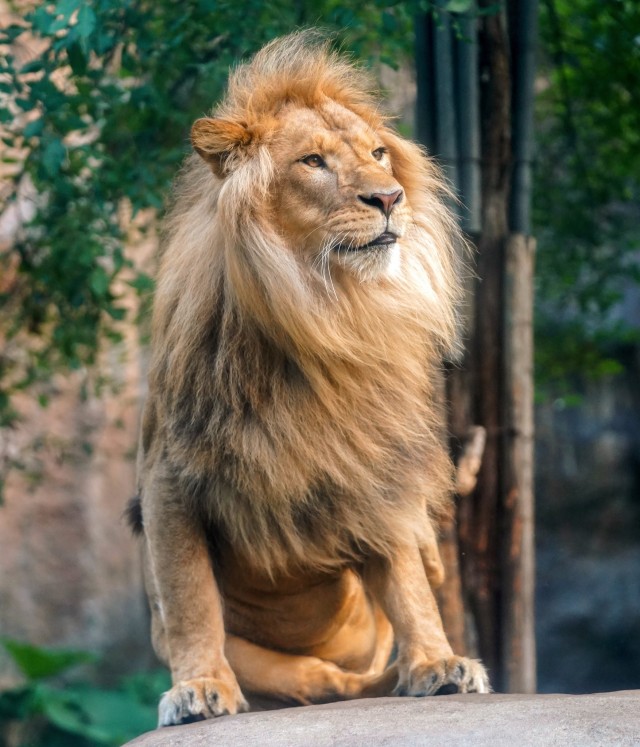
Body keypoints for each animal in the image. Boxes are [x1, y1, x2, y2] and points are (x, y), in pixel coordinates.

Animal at [131, 32, 490, 728]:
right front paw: (199, 688)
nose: (389, 198)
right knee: (320, 683)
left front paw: (438, 663)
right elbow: (190, 596)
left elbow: (406, 579)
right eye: (314, 161)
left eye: (379, 154)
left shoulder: (373, 464)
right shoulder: (169, 477)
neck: (320, 317)